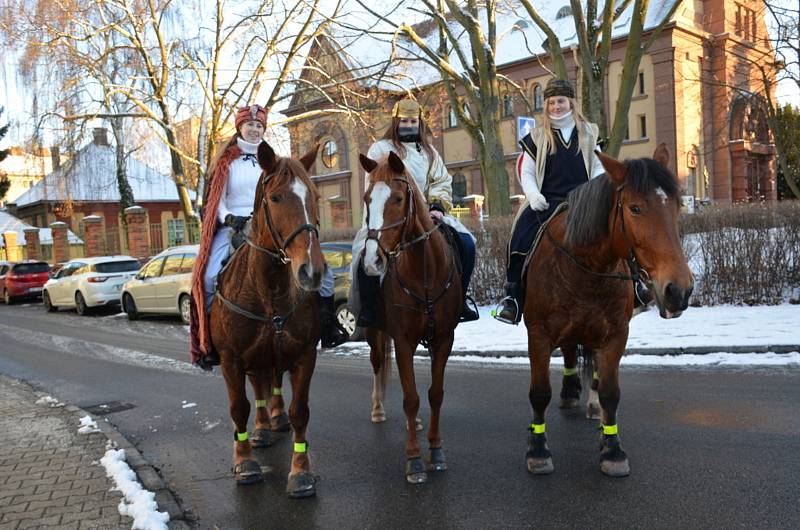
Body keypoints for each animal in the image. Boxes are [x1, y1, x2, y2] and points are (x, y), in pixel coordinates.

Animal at [212, 141, 328, 496]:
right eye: (275, 197)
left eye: (314, 196)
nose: (311, 271)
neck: (269, 290)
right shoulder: (231, 359)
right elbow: (239, 408)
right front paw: (245, 462)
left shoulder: (304, 354)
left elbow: (300, 411)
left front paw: (300, 471)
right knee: (258, 388)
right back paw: (261, 429)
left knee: (270, 382)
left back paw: (273, 419)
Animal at [524, 143, 692, 474]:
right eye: (635, 208)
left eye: (677, 205)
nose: (679, 290)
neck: (585, 269)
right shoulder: (538, 335)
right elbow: (539, 393)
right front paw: (538, 448)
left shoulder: (615, 335)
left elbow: (610, 392)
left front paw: (611, 447)